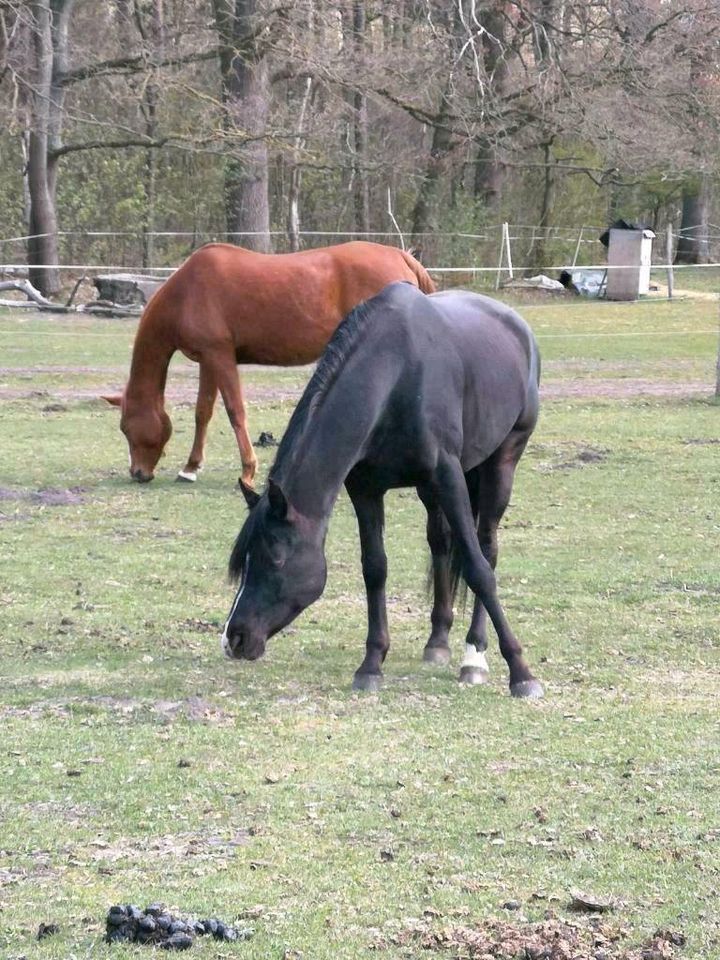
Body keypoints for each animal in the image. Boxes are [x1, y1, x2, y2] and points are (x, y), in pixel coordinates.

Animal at [104, 240, 436, 480]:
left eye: (125, 427)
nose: (138, 473)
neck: (186, 292)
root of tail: (399, 256)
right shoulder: (208, 360)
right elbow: (203, 412)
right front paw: (191, 468)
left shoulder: (220, 357)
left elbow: (235, 411)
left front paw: (248, 470)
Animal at [222, 280, 544, 696]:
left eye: (275, 558)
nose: (234, 638)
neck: (396, 376)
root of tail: (518, 326)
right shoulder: (365, 488)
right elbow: (375, 568)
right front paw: (372, 664)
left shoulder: (448, 475)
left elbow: (477, 569)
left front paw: (521, 672)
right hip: (432, 489)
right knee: (440, 542)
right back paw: (438, 640)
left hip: (499, 465)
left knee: (487, 547)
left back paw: (475, 653)